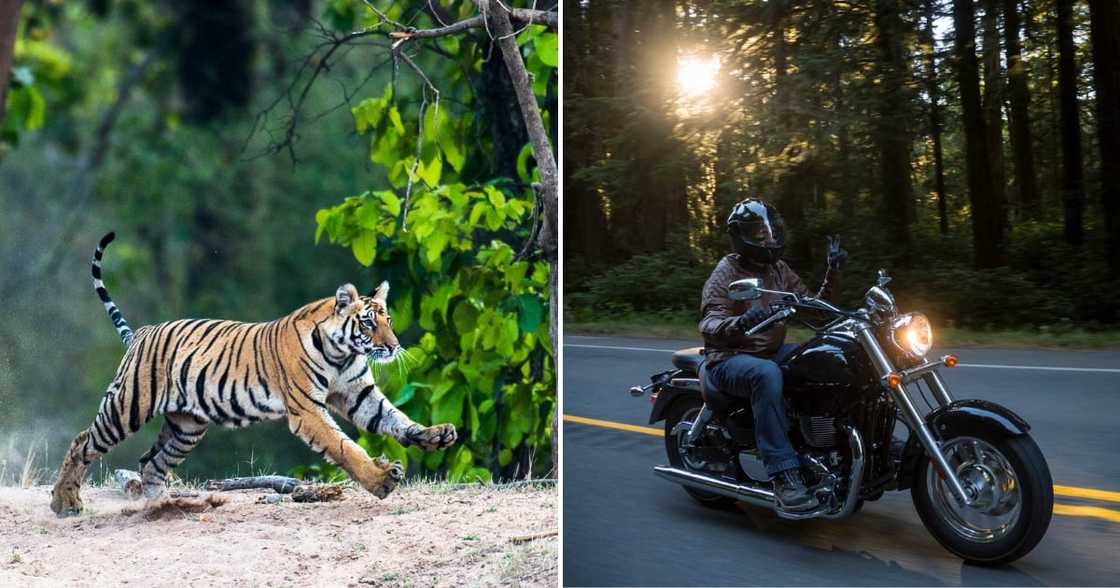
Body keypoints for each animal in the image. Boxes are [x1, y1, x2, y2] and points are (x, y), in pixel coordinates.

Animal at [51, 231, 454, 515]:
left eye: (389, 321)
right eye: (369, 323)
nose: (394, 346)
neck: (343, 353)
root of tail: (141, 333)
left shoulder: (359, 395)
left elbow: (396, 419)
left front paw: (436, 434)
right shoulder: (307, 410)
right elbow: (345, 447)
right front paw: (382, 479)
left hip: (187, 426)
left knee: (151, 463)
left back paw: (163, 506)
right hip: (128, 406)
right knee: (83, 442)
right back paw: (65, 503)